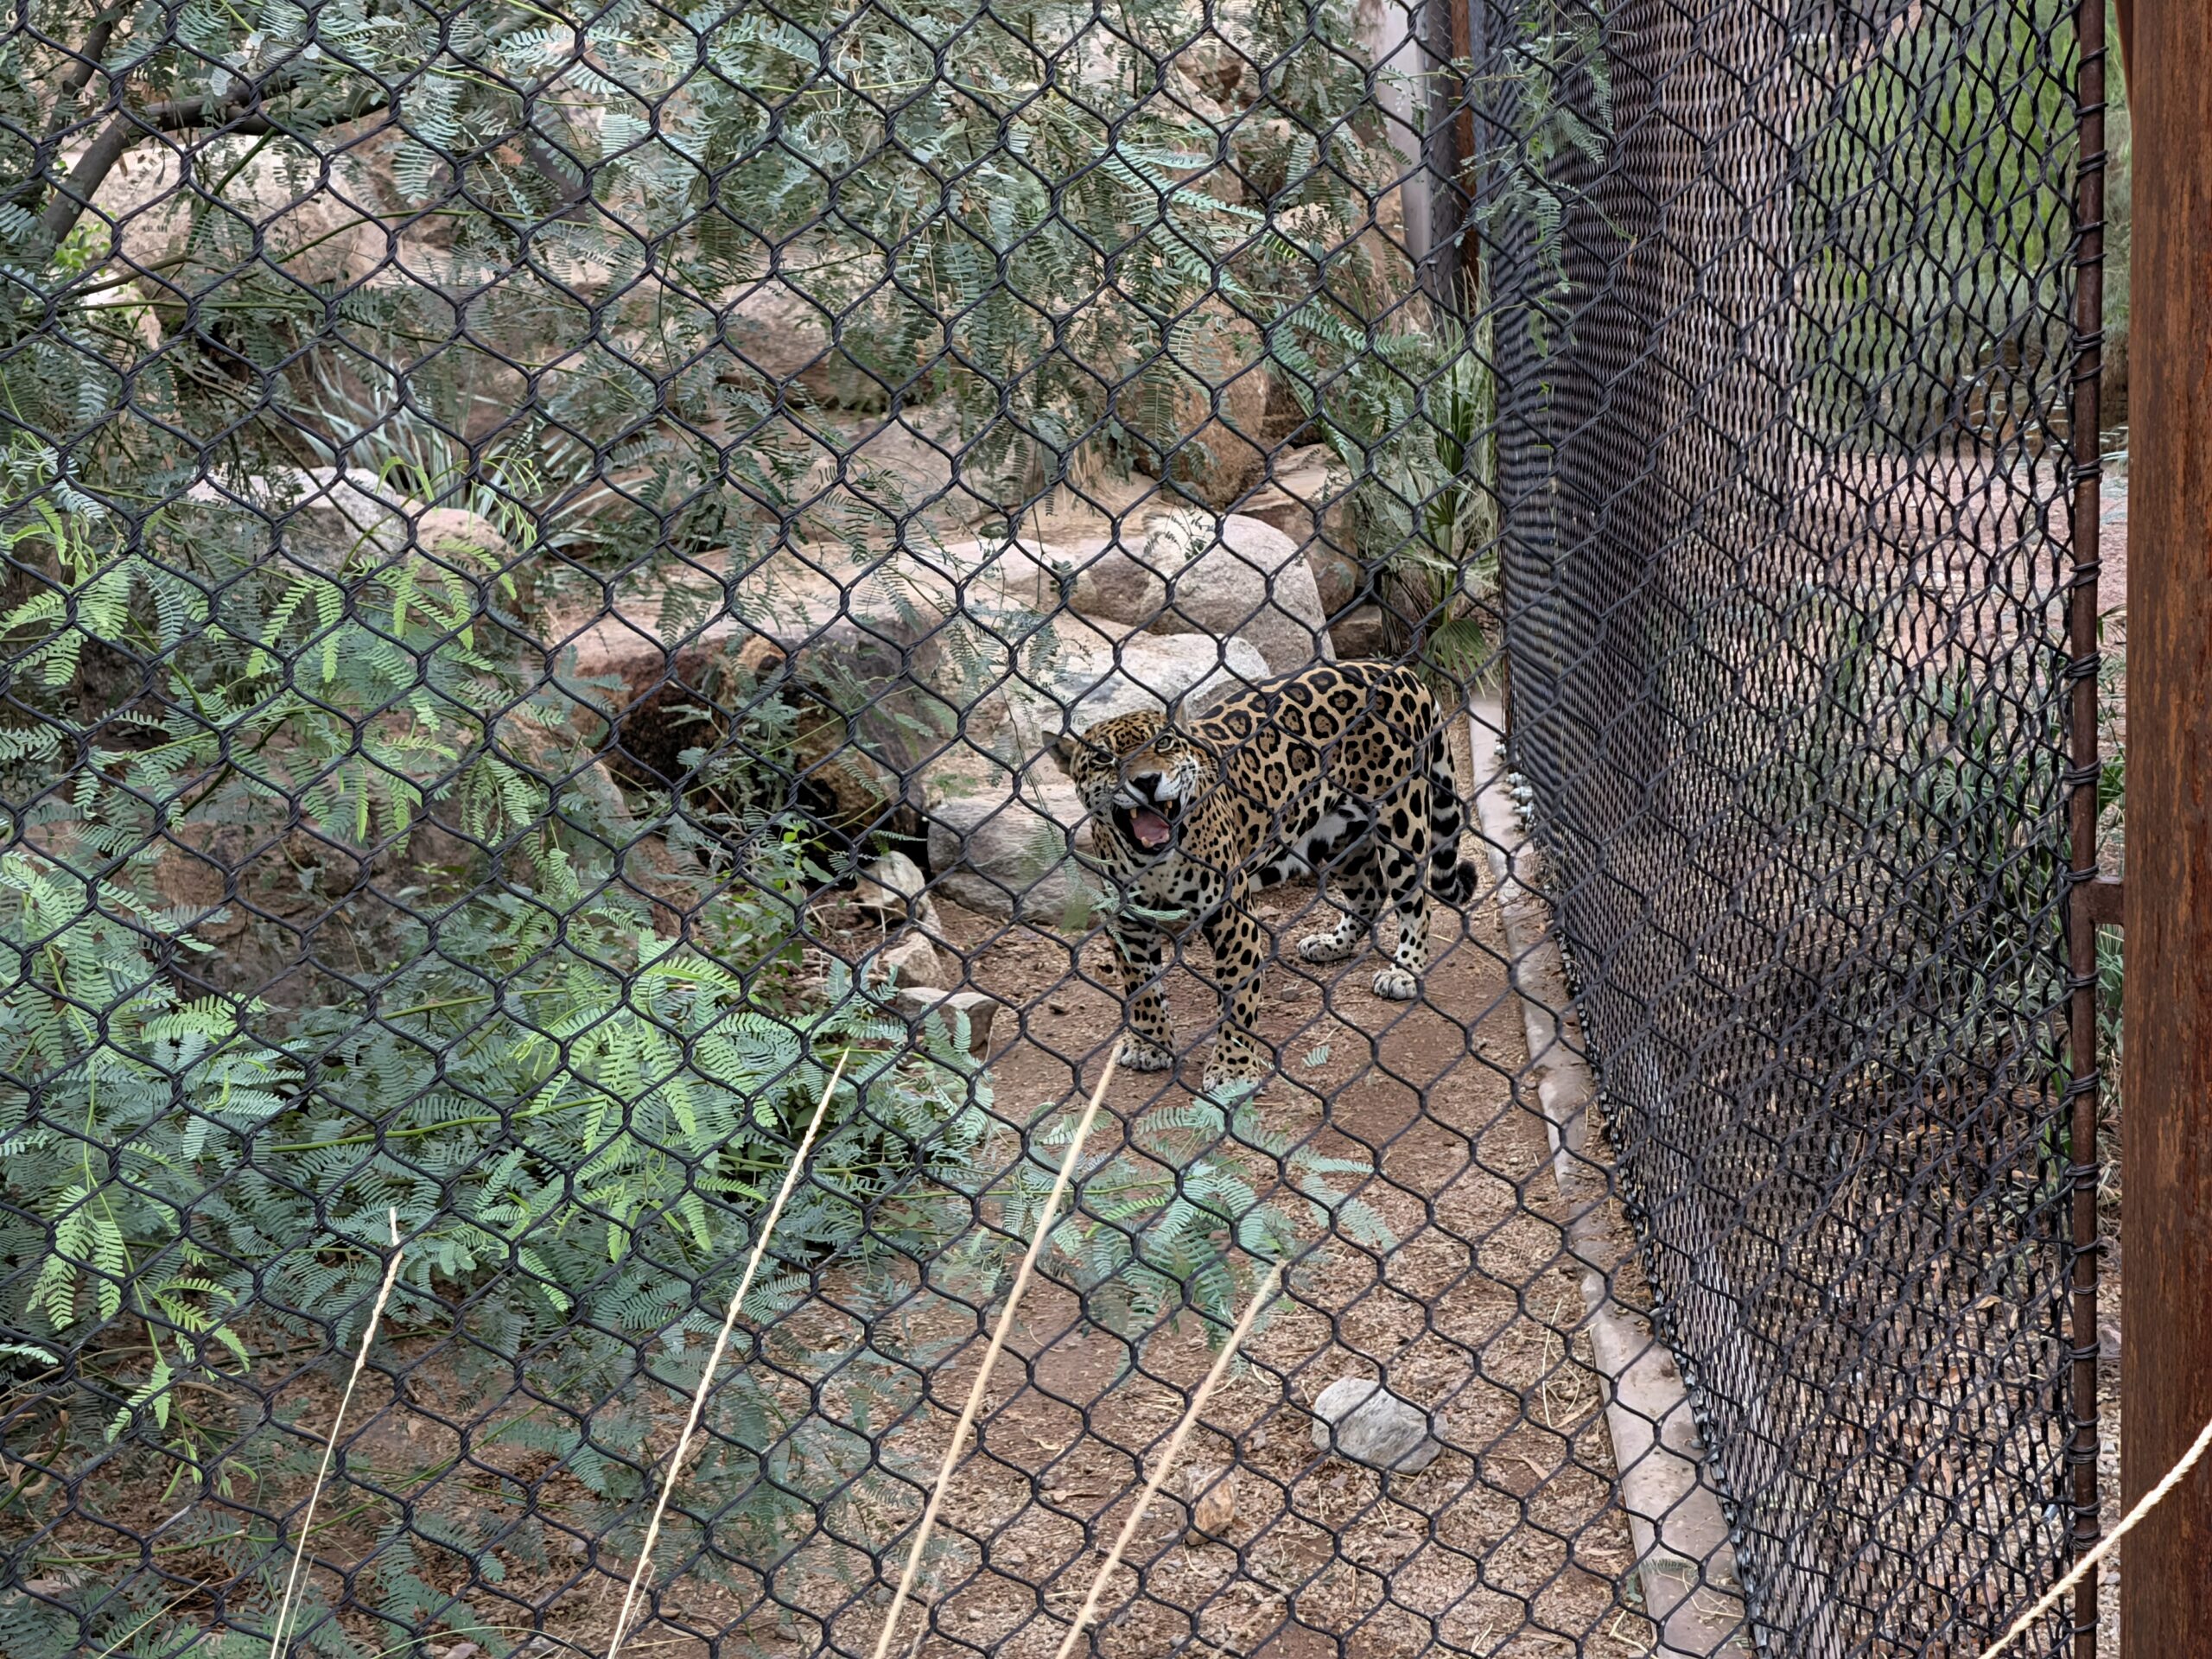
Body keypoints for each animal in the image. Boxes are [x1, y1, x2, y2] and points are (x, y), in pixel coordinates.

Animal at [1068, 660, 1480, 1094]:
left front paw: (1232, 1069)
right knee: (1369, 890)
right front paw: (1149, 1044)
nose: (1147, 782)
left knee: (1415, 902)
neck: (1157, 861)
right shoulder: (1128, 921)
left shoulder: (1232, 916)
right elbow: (1141, 985)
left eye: (1164, 744)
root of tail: (1395, 670)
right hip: (1335, 836)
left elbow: (1237, 993)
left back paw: (1404, 970)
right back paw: (1332, 944)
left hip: (1401, 817)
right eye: (1103, 759)